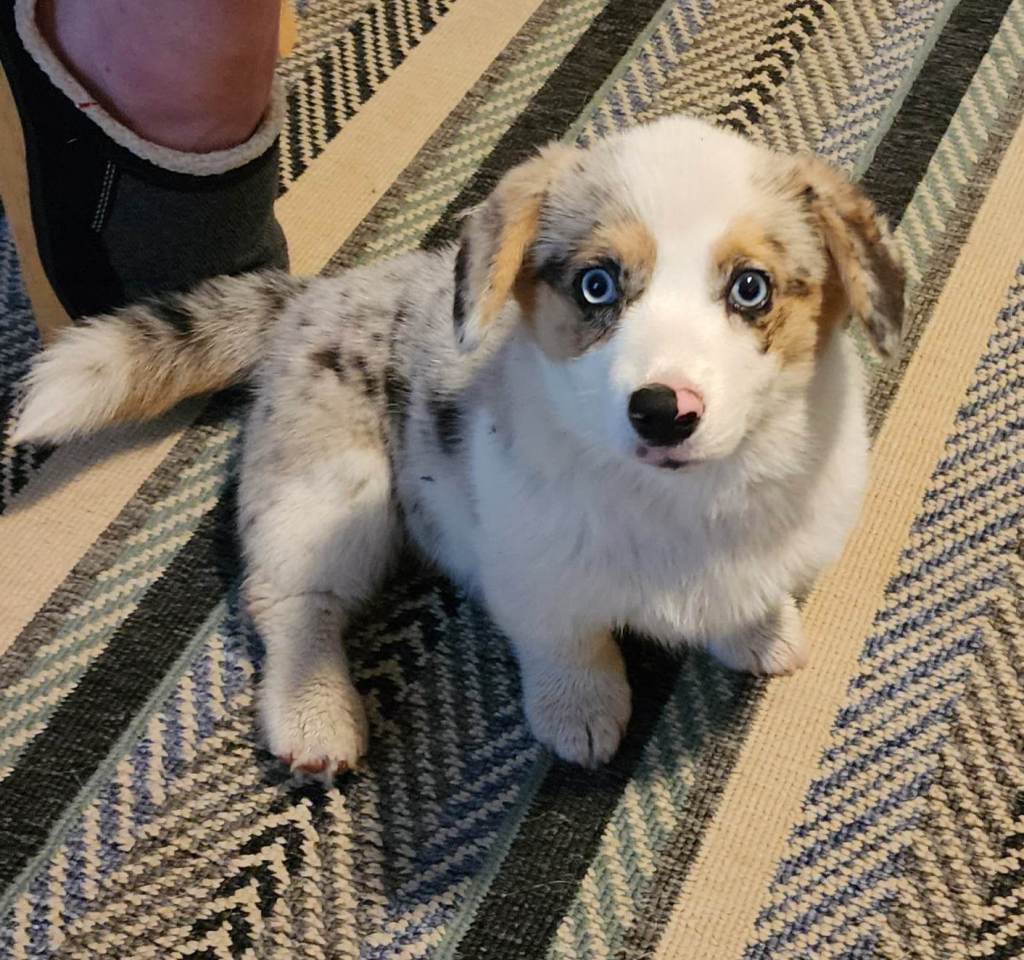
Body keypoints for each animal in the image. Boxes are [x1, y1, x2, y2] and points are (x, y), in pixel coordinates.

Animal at [14, 115, 905, 778]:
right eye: (597, 285)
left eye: (751, 288)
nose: (661, 412)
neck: (680, 499)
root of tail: (311, 298)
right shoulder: (536, 580)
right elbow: (571, 648)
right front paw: (580, 716)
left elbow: (750, 595)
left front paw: (760, 632)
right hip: (331, 490)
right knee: (291, 602)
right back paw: (317, 717)